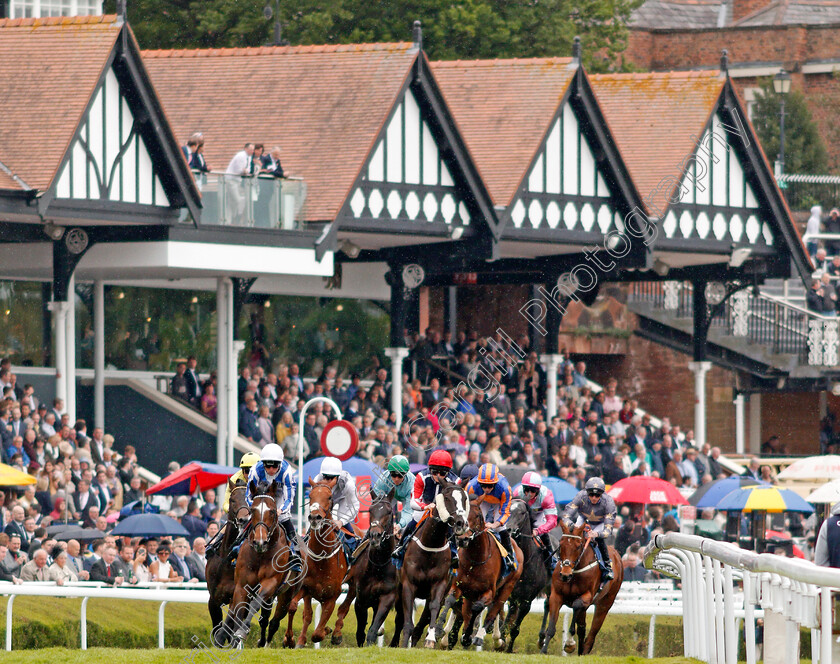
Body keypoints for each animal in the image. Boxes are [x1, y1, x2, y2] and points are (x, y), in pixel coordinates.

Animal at [215, 482, 296, 648]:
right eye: (253, 510)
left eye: (272, 511)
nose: (260, 542)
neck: (260, 554)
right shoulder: (241, 584)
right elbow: (238, 610)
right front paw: (233, 640)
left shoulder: (270, 583)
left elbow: (255, 605)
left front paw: (241, 632)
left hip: (286, 595)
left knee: (273, 620)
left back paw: (267, 641)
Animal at [392, 480, 470, 652]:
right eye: (446, 498)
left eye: (464, 499)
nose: (461, 523)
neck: (430, 545)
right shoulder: (408, 585)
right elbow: (406, 620)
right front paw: (403, 644)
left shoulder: (439, 584)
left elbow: (433, 608)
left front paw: (430, 639)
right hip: (399, 588)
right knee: (400, 618)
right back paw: (394, 643)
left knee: (423, 620)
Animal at [436, 496, 520, 652]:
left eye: (478, 516)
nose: (462, 538)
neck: (475, 559)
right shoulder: (459, 587)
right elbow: (451, 601)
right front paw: (439, 630)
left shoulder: (489, 592)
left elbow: (478, 608)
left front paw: (469, 636)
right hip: (471, 594)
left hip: (507, 588)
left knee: (493, 612)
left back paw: (485, 638)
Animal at [540, 520, 624, 656]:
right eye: (561, 544)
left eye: (579, 546)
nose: (565, 574)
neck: (574, 573)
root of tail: (617, 554)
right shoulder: (556, 595)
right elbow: (552, 625)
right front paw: (543, 649)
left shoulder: (587, 597)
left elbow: (576, 605)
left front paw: (569, 643)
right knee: (582, 628)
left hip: (605, 603)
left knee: (592, 633)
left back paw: (584, 651)